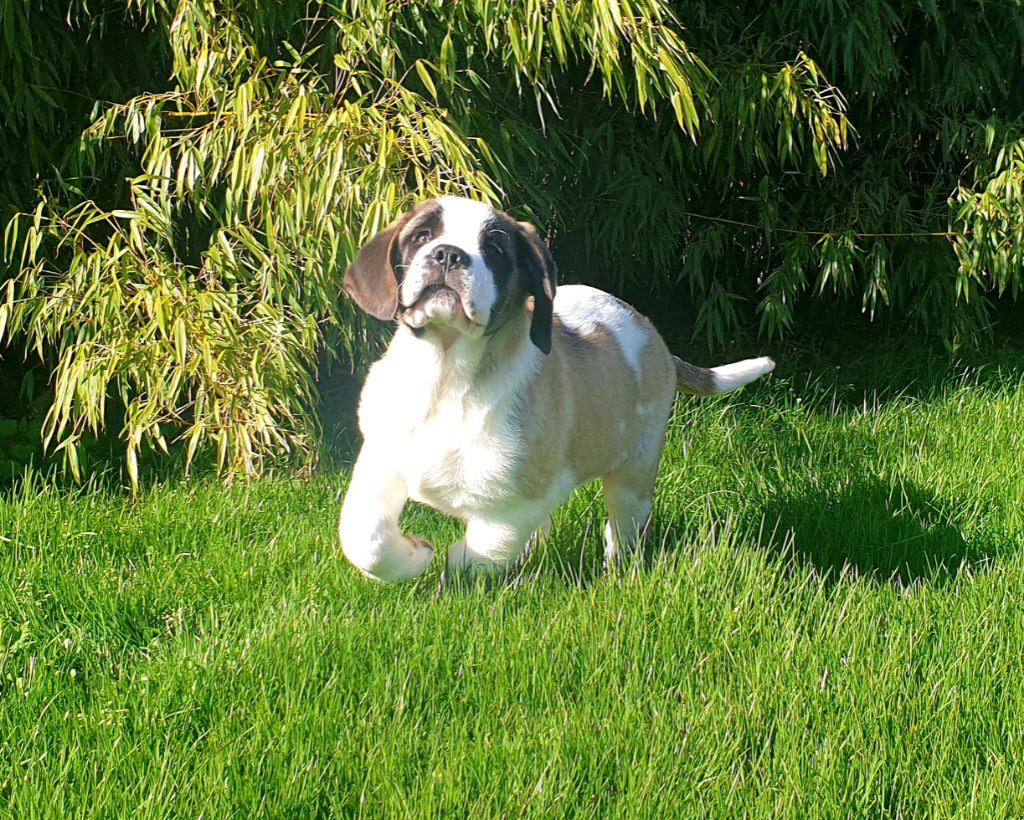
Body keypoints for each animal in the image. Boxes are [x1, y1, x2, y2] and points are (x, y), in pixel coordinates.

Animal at [338, 196, 774, 582]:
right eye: (422, 236)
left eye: (494, 250)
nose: (447, 254)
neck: (446, 376)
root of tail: (653, 335)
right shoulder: (381, 460)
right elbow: (363, 538)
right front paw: (413, 557)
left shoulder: (513, 506)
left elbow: (478, 555)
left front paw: (442, 563)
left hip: (634, 471)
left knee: (622, 529)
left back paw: (616, 573)